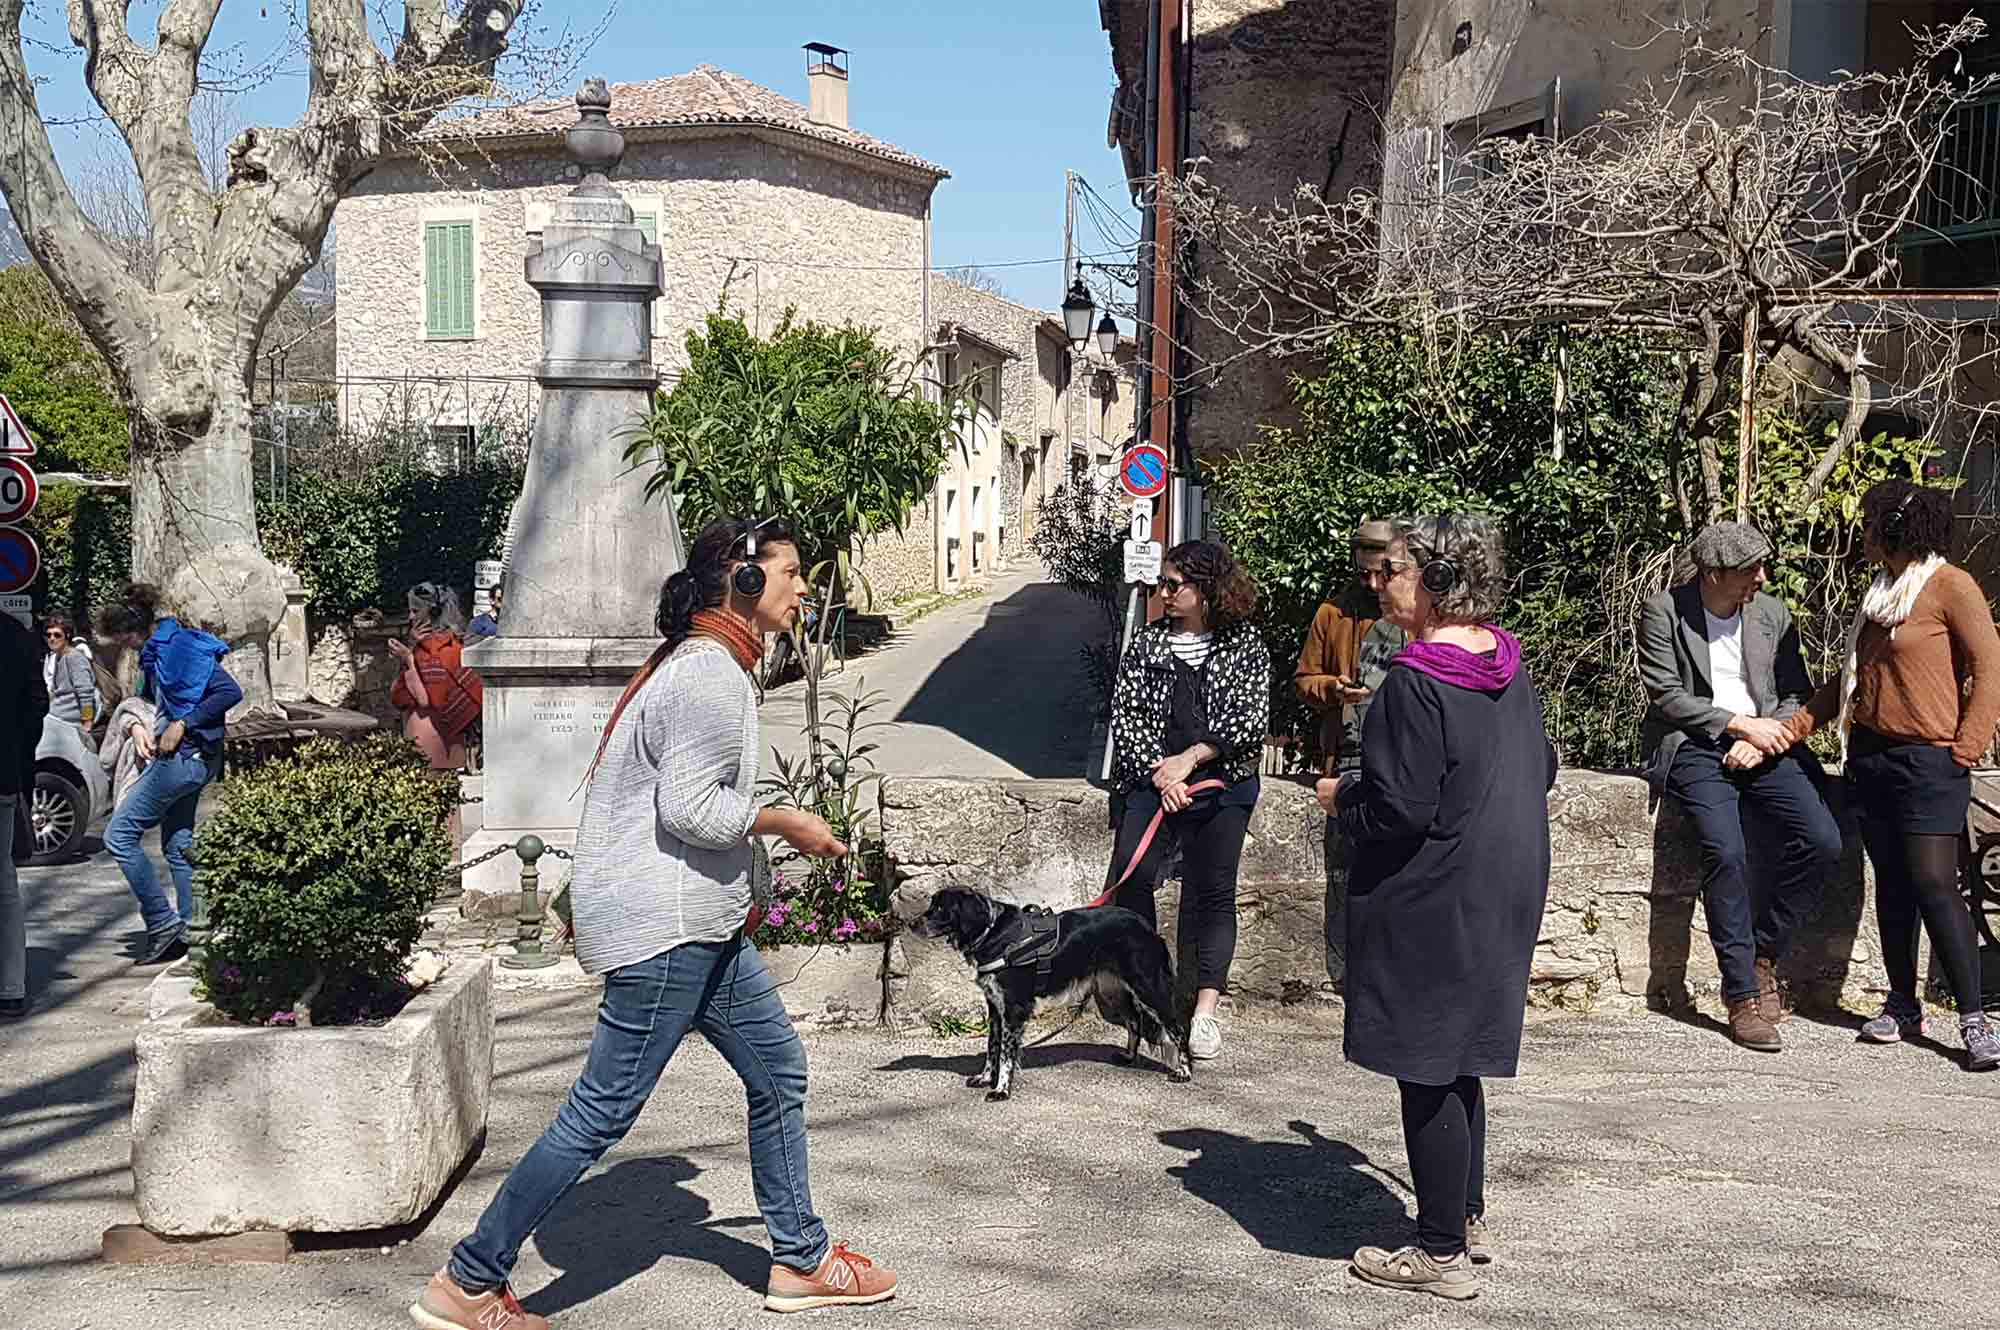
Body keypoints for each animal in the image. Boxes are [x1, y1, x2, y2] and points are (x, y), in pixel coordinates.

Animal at [908, 880, 1184, 1096]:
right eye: (932, 905)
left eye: (940, 908)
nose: (911, 924)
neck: (993, 933)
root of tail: (1148, 928)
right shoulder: (995, 1006)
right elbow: (992, 1047)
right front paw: (986, 1078)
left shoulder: (1014, 1007)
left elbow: (1006, 1053)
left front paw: (1001, 1089)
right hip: (1112, 989)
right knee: (1134, 1020)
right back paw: (1128, 1057)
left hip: (1148, 987)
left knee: (1176, 1027)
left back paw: (1183, 1071)